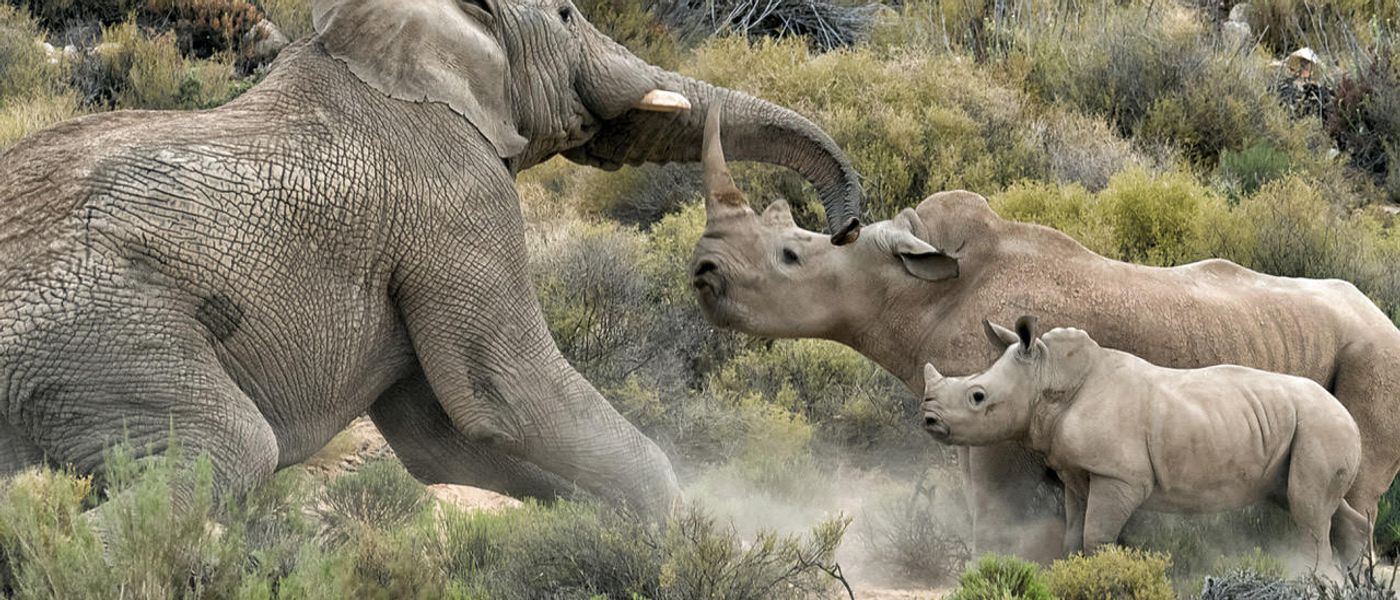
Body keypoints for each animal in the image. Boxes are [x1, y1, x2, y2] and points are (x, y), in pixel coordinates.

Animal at [0, 0, 864, 523]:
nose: (848, 227)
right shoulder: (459, 200)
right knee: (230, 450)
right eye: (566, 13)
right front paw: (672, 538)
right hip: (94, 334)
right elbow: (511, 396)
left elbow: (443, 437)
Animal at [922, 317, 1368, 572]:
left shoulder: (1119, 476)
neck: (1049, 379)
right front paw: (1069, 572)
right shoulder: (1078, 473)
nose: (928, 419)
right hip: (1311, 427)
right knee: (1310, 503)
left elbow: (1096, 536)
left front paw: (1101, 573)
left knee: (1308, 510)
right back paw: (1349, 576)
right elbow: (1073, 532)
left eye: (977, 396)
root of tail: (1350, 416)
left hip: (1321, 425)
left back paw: (1313, 578)